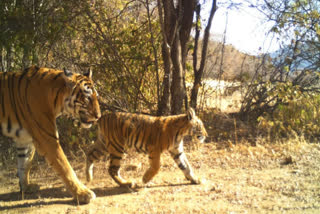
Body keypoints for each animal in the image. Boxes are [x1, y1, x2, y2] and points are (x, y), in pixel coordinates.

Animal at [0, 65, 100, 204]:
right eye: (87, 98)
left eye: (96, 96)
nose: (98, 116)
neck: (56, 98)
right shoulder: (47, 138)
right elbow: (65, 167)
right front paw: (82, 193)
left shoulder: (24, 139)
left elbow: (24, 164)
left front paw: (26, 187)